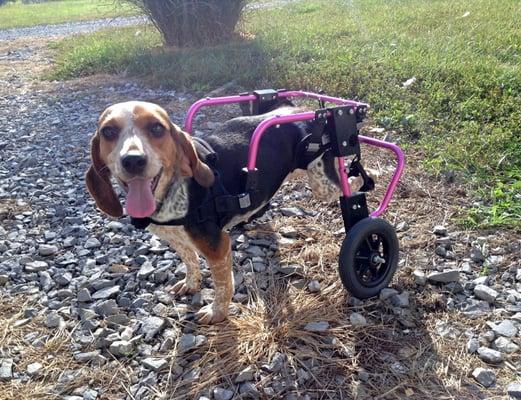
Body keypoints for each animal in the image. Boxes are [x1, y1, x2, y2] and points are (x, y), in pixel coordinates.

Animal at [85, 101, 368, 324]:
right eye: (108, 131)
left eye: (156, 128)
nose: (133, 160)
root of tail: (309, 112)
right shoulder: (177, 239)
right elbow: (190, 261)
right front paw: (191, 284)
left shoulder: (217, 247)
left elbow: (223, 285)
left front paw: (216, 312)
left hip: (324, 184)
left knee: (352, 184)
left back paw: (365, 186)